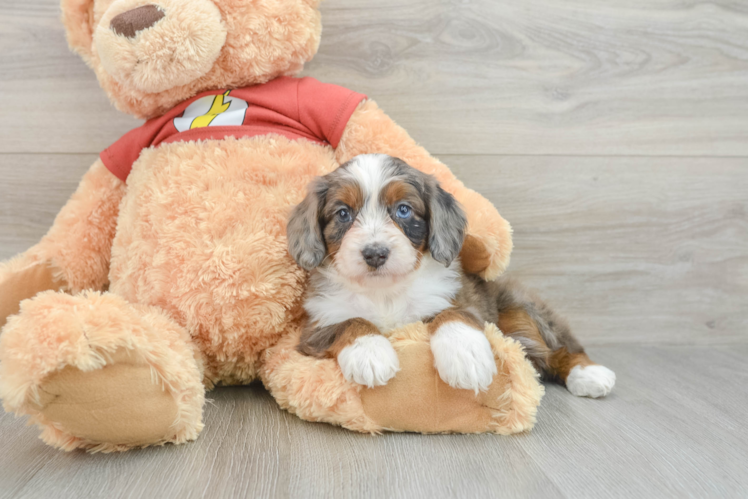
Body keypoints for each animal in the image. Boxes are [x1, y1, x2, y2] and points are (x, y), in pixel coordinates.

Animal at [286, 154, 612, 396]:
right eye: (343, 213)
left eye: (403, 210)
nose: (375, 253)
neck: (384, 292)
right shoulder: (317, 325)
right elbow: (349, 322)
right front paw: (370, 353)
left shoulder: (458, 300)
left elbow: (453, 314)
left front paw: (466, 356)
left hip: (522, 305)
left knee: (560, 347)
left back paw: (590, 374)